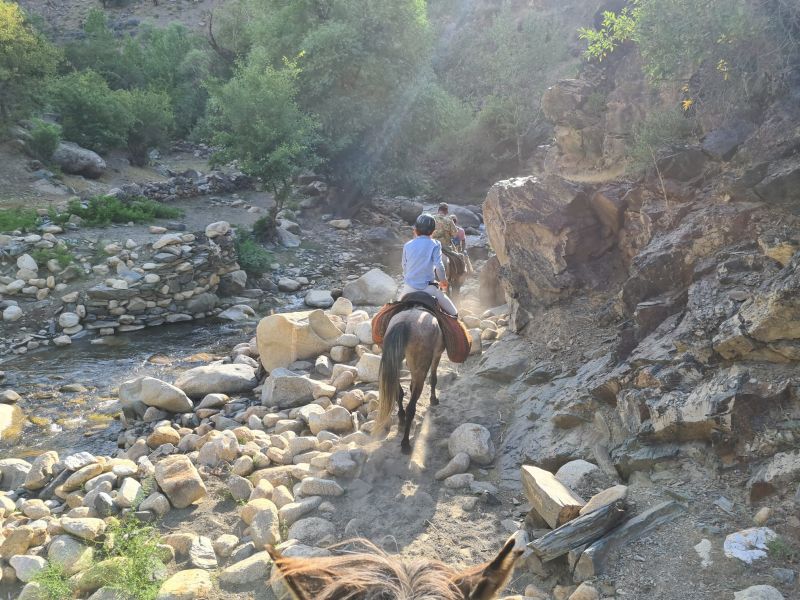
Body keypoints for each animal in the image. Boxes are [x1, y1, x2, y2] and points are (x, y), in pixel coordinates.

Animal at [378, 308, 446, 452]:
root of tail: (405, 322)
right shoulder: (437, 354)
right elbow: (433, 378)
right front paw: (433, 399)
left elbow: (410, 386)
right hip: (421, 368)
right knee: (411, 407)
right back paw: (405, 443)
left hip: (394, 362)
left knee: (398, 393)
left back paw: (401, 419)